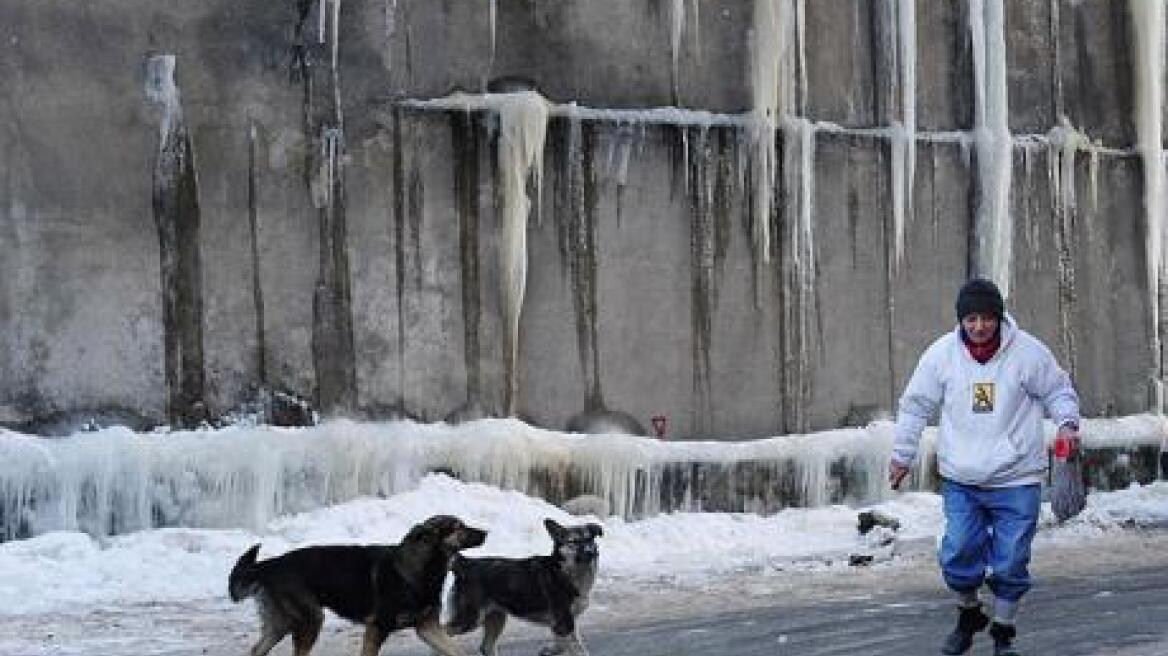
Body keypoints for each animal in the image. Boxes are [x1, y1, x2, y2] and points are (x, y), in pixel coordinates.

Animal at [230, 513, 485, 653]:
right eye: (458, 527)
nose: (486, 532)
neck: (421, 568)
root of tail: (271, 563)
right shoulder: (377, 628)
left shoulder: (428, 628)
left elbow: (457, 652)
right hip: (310, 620)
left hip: (281, 624)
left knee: (256, 650)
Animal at [443, 515, 602, 653]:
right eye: (573, 541)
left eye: (589, 539)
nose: (590, 553)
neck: (564, 571)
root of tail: (466, 563)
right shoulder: (564, 623)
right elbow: (579, 650)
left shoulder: (563, 625)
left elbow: (563, 645)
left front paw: (549, 650)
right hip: (469, 619)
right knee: (443, 630)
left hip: (496, 618)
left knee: (486, 647)